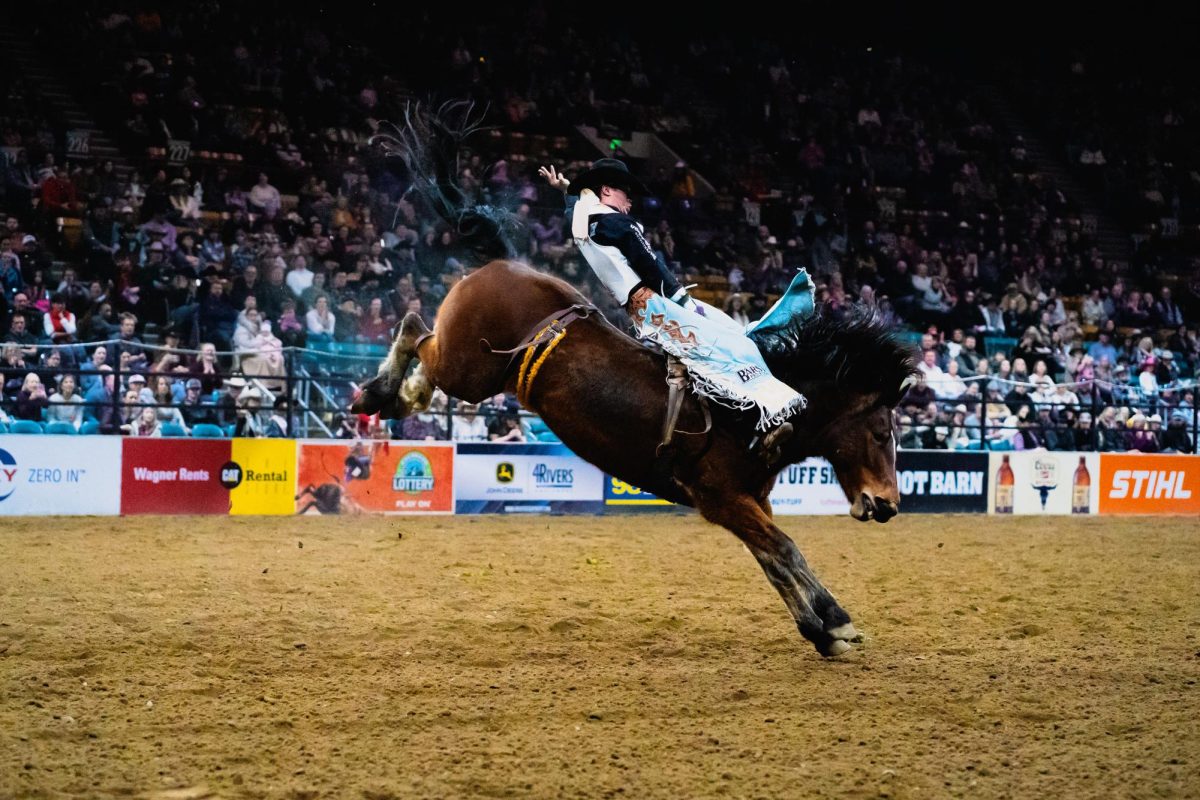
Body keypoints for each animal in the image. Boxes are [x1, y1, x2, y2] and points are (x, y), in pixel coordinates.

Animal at [350, 261, 912, 657]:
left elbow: (774, 562)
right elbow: (788, 551)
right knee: (414, 328)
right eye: (882, 431)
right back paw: (375, 392)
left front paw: (821, 631)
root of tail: (490, 270)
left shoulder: (750, 502)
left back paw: (393, 398)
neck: (752, 414)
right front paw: (838, 622)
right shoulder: (723, 500)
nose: (887, 504)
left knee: (420, 353)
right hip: (468, 369)